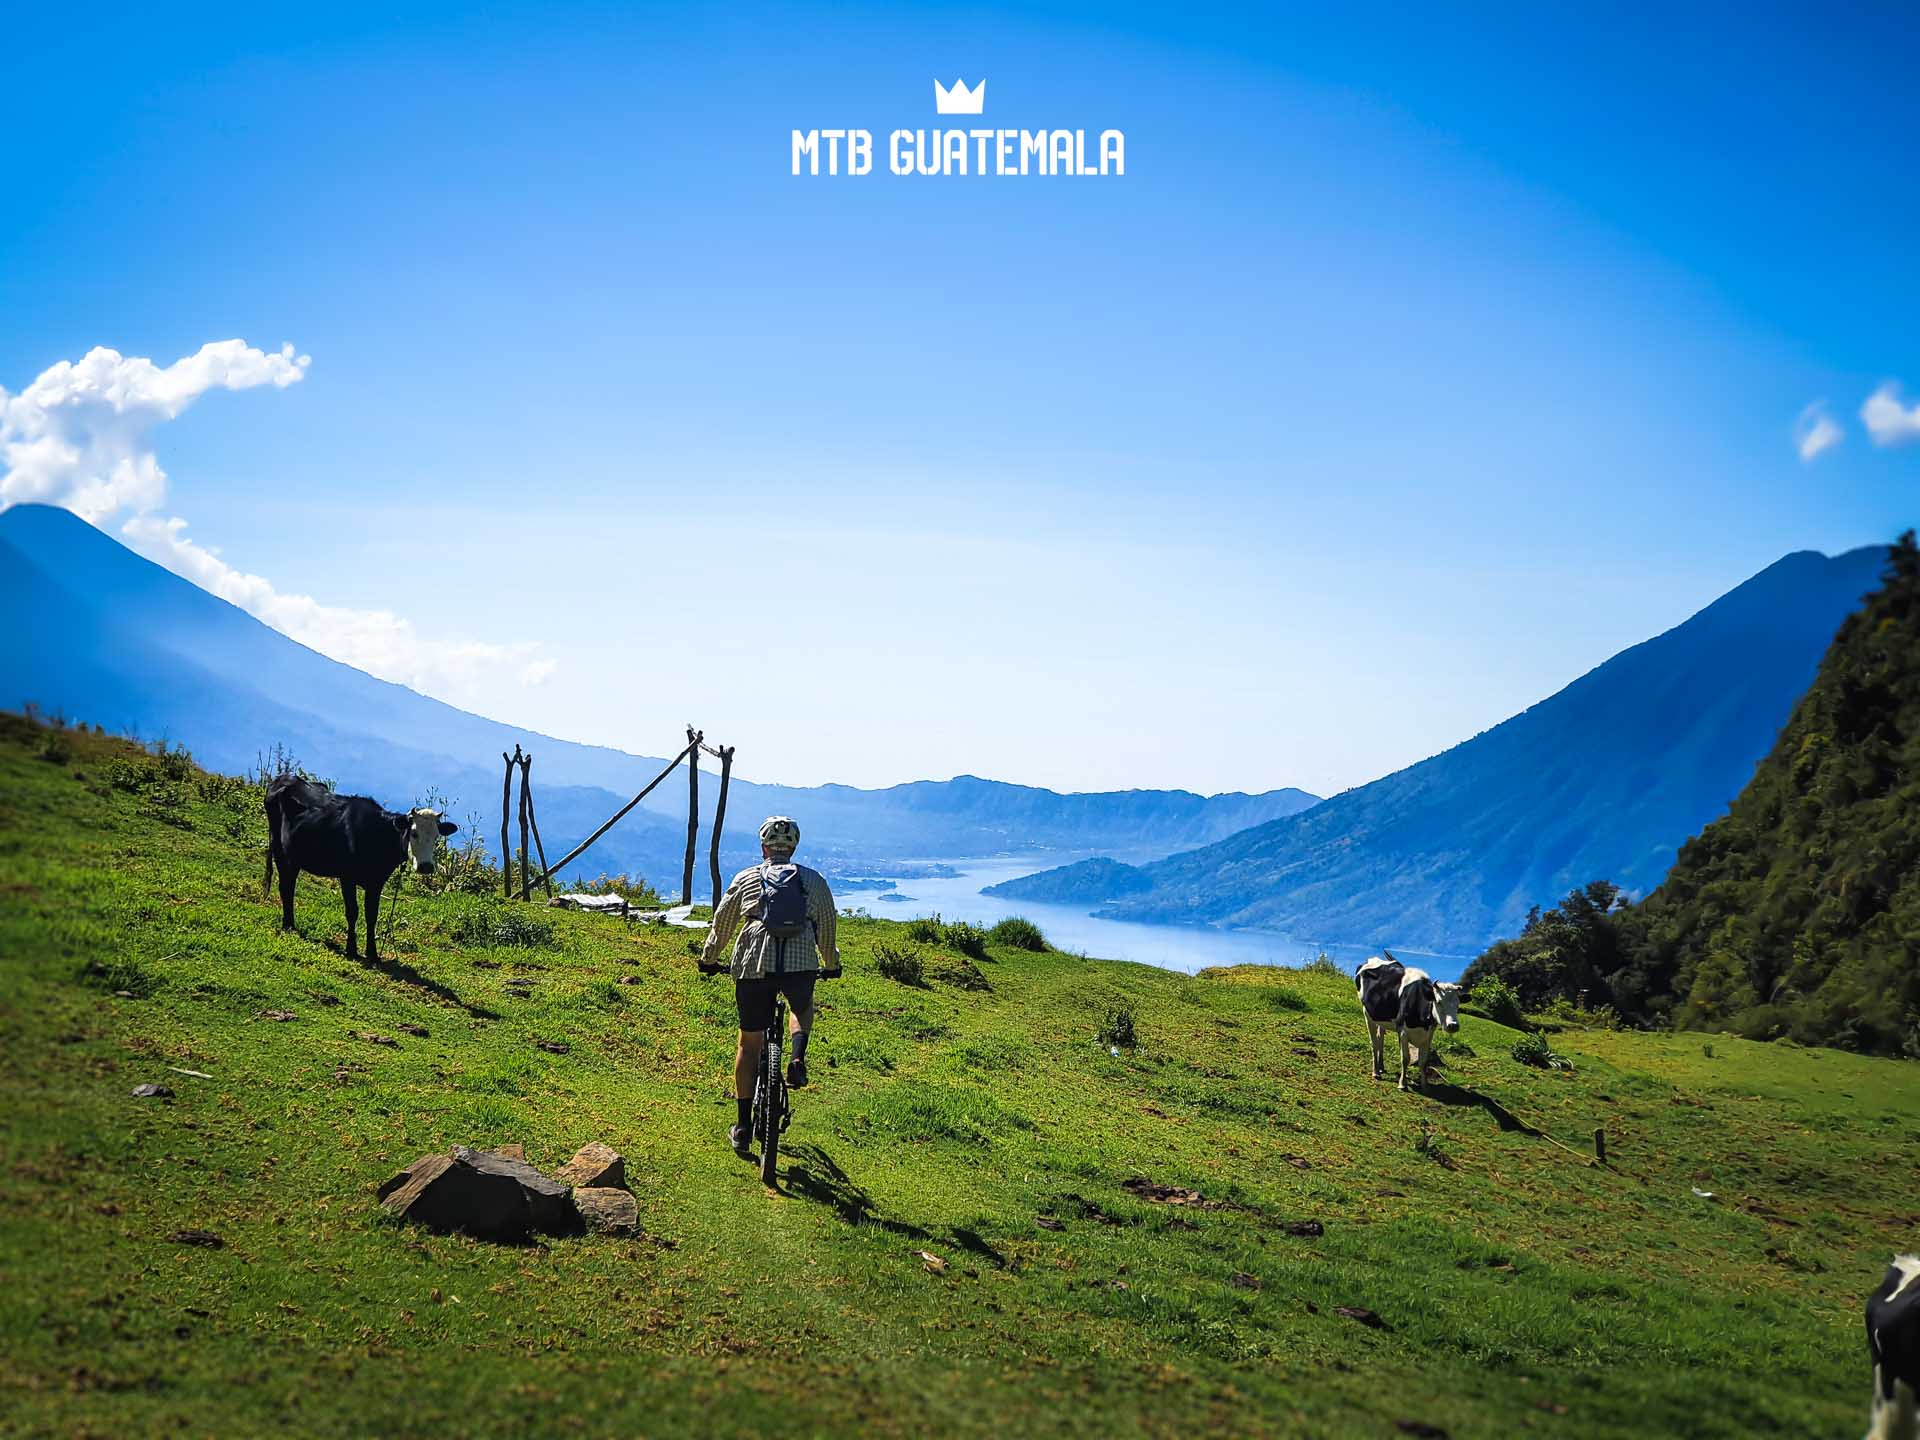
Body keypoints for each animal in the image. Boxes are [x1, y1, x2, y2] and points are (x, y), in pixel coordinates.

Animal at [264, 771, 455, 963]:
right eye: (414, 833)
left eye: (437, 835)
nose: (426, 866)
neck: (376, 835)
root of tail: (285, 778)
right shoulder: (347, 877)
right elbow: (352, 912)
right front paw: (351, 950)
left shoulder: (377, 881)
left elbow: (372, 914)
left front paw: (372, 954)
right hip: (281, 850)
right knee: (285, 887)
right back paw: (288, 925)